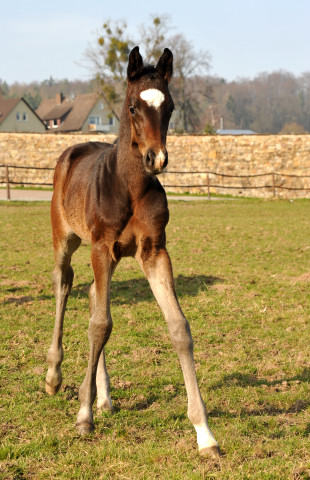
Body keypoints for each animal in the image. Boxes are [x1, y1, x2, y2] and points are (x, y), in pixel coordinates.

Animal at [45, 46, 220, 458]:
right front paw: (83, 416)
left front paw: (204, 432)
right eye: (132, 107)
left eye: (170, 106)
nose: (157, 159)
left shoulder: (154, 251)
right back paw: (54, 376)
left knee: (93, 295)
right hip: (67, 239)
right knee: (64, 284)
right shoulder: (102, 248)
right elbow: (100, 325)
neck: (130, 184)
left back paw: (104, 397)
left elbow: (178, 327)